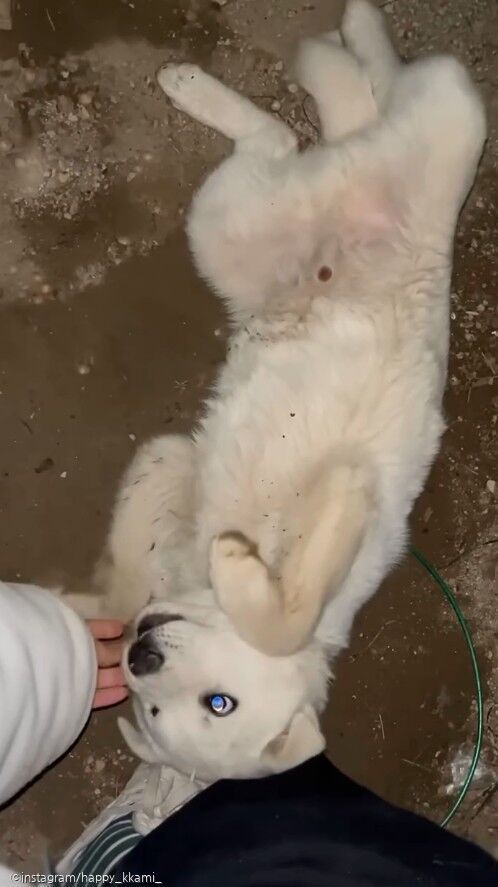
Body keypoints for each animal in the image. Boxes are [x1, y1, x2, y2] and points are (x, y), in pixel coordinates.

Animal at [63, 0, 485, 781]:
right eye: (162, 705)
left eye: (214, 705)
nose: (140, 652)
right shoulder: (178, 483)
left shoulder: (175, 463)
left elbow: (277, 620)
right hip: (277, 197)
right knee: (362, 96)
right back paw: (332, 40)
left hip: (233, 218)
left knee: (300, 127)